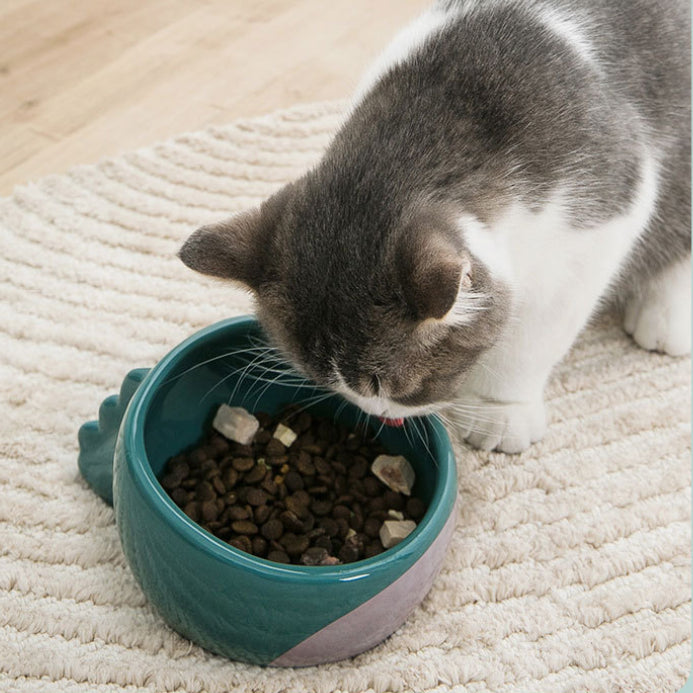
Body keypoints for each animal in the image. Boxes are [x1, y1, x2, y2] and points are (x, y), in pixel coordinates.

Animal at [177, 0, 688, 454]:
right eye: (326, 382)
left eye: (396, 388)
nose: (379, 415)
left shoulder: (601, 214)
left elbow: (535, 333)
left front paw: (501, 410)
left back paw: (666, 310)